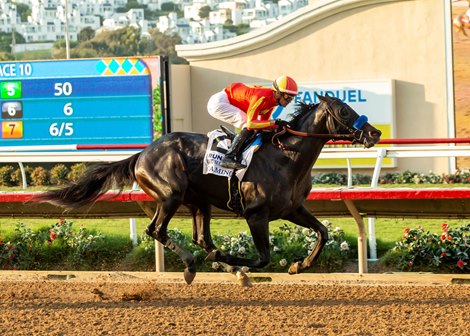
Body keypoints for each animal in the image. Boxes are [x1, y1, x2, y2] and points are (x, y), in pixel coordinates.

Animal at [35, 94, 382, 284]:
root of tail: (143, 153)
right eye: (344, 111)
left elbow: (322, 232)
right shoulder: (256, 215)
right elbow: (263, 258)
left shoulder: (292, 209)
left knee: (200, 237)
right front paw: (232, 261)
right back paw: (193, 265)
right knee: (157, 230)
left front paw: (301, 265)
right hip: (170, 195)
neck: (286, 157)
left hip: (198, 202)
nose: (374, 133)